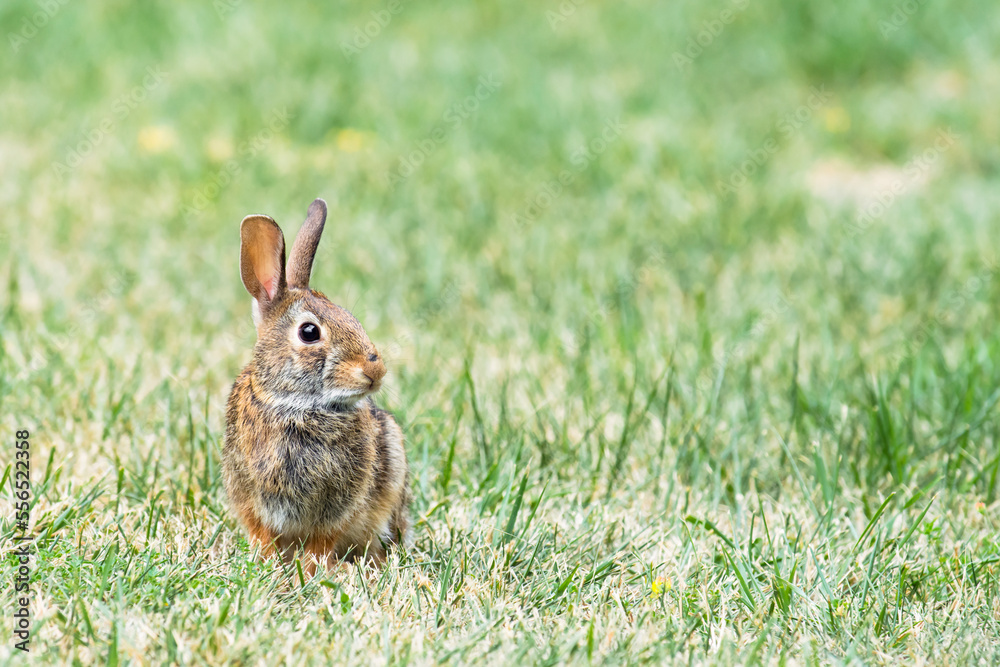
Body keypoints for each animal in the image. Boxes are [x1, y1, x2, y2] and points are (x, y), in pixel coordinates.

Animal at [222, 198, 410, 570]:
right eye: (309, 332)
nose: (376, 371)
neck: (296, 405)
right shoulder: (249, 493)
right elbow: (262, 532)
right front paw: (268, 564)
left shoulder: (339, 504)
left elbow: (322, 540)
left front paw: (310, 570)